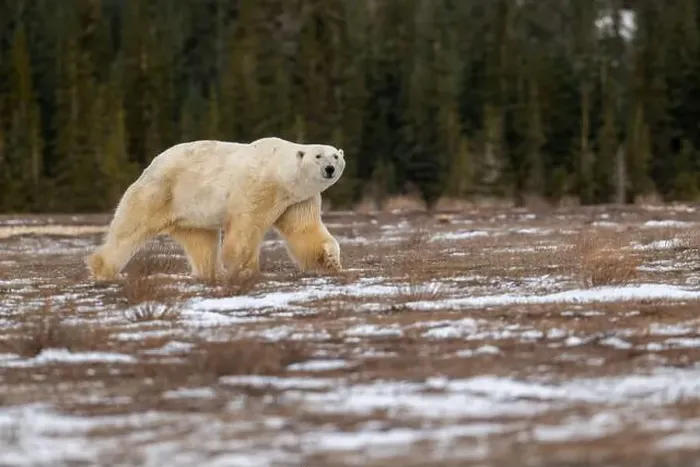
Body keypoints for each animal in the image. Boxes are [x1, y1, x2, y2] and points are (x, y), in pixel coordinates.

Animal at [86, 136, 346, 282]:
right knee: (129, 229)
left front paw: (330, 260)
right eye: (318, 155)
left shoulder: (297, 200)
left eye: (335, 155)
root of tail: (151, 164)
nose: (330, 168)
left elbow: (305, 230)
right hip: (160, 192)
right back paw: (103, 269)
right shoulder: (257, 187)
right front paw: (242, 269)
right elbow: (245, 227)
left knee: (201, 243)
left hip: (192, 215)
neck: (279, 174)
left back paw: (211, 273)